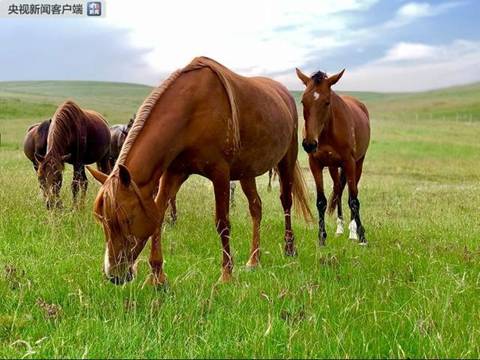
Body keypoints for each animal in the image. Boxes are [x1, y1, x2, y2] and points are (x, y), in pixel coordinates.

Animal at [88, 56, 314, 286]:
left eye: (127, 219)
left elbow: (223, 223)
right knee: (256, 208)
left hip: (286, 159)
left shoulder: (220, 173)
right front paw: (157, 277)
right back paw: (254, 260)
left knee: (286, 201)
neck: (191, 111)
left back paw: (289, 249)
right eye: (102, 220)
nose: (114, 275)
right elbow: (158, 217)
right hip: (246, 172)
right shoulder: (174, 173)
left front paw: (226, 275)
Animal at [296, 68, 372, 245]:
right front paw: (321, 238)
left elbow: (354, 200)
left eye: (327, 102)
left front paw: (361, 236)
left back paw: (352, 232)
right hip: (332, 166)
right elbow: (321, 201)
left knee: (351, 192)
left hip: (358, 163)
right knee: (338, 190)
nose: (309, 144)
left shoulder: (349, 163)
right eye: (303, 101)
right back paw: (340, 228)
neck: (328, 132)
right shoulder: (315, 164)